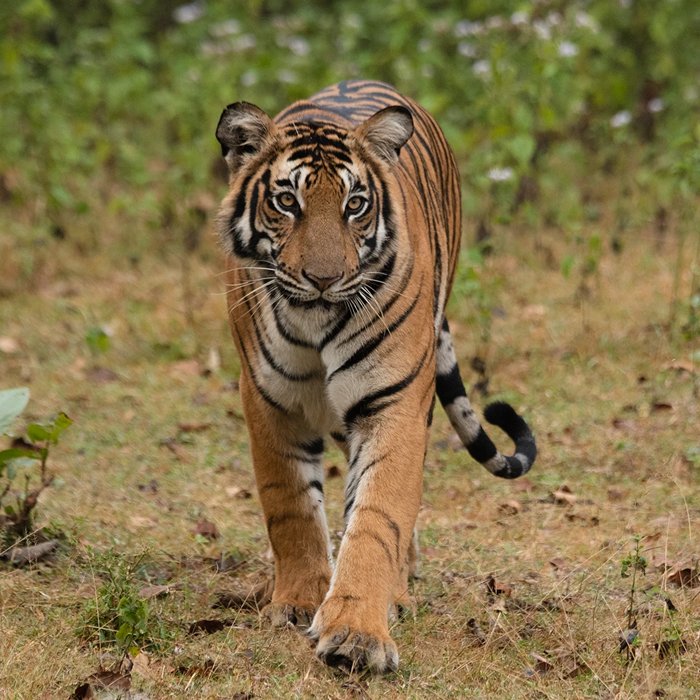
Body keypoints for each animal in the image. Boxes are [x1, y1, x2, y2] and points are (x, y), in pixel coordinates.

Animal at [215, 79, 536, 673]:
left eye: (355, 206)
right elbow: (290, 507)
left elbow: (378, 516)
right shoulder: (270, 400)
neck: (315, 322)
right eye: (287, 201)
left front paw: (357, 634)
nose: (323, 279)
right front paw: (298, 601)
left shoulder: (394, 403)